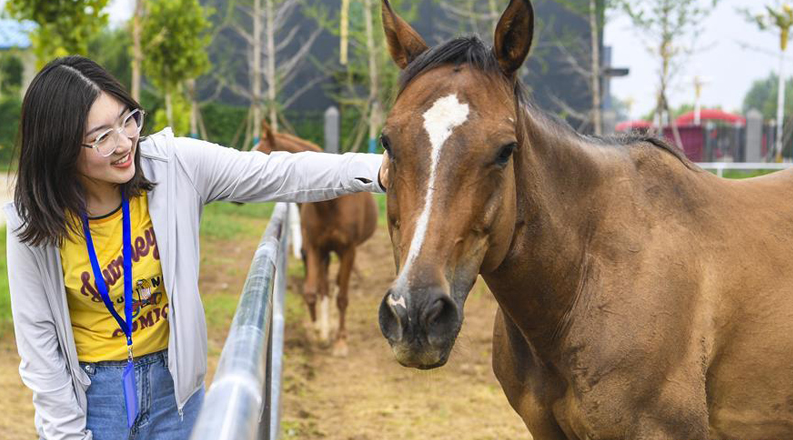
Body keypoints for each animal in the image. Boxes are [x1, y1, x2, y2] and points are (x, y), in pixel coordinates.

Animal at [255, 120, 376, 358]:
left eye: (261, 153)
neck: (331, 205)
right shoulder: (314, 247)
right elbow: (312, 291)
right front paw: (316, 332)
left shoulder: (348, 250)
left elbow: (342, 298)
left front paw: (341, 341)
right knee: (325, 286)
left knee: (337, 285)